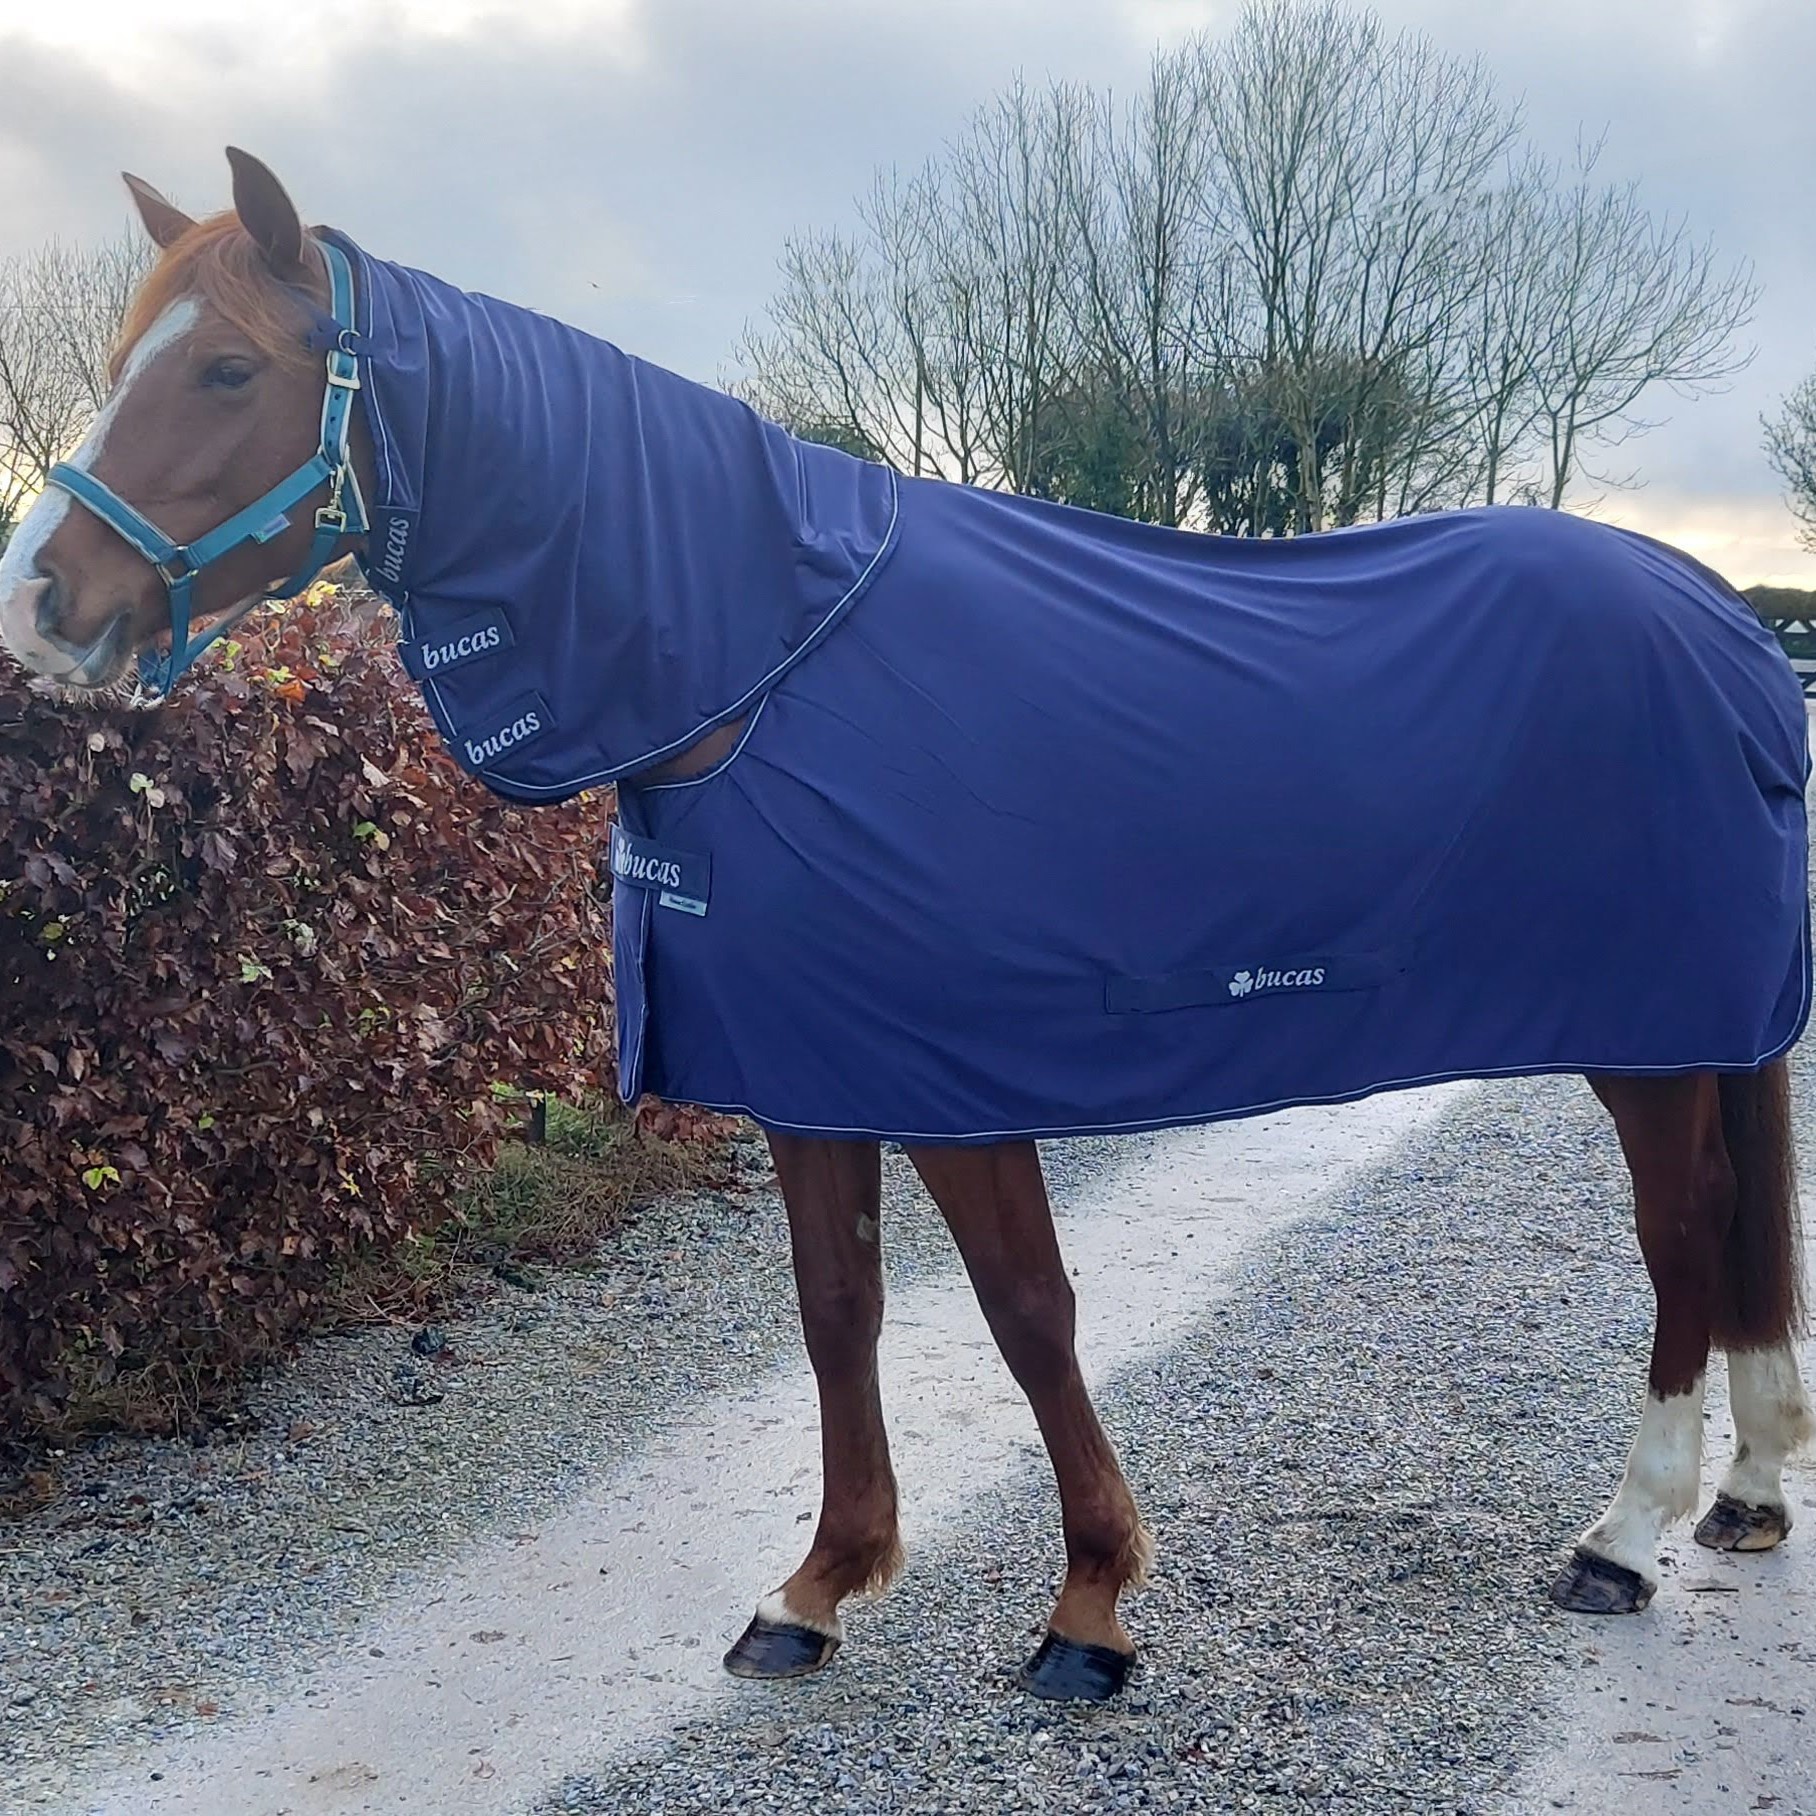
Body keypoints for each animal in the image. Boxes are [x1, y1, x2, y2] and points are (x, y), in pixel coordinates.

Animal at [1, 149, 1811, 1706]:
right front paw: (818, 1586)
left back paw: (1627, 1532)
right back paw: (1747, 1489)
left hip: (1649, 1030)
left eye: (224, 372)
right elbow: (837, 1309)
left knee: (1682, 1232)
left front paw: (1089, 1606)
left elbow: (1025, 1311)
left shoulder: (955, 1074)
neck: (767, 665)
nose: (40, 601)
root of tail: (1725, 621)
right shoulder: (813, 1069)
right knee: (1730, 1232)